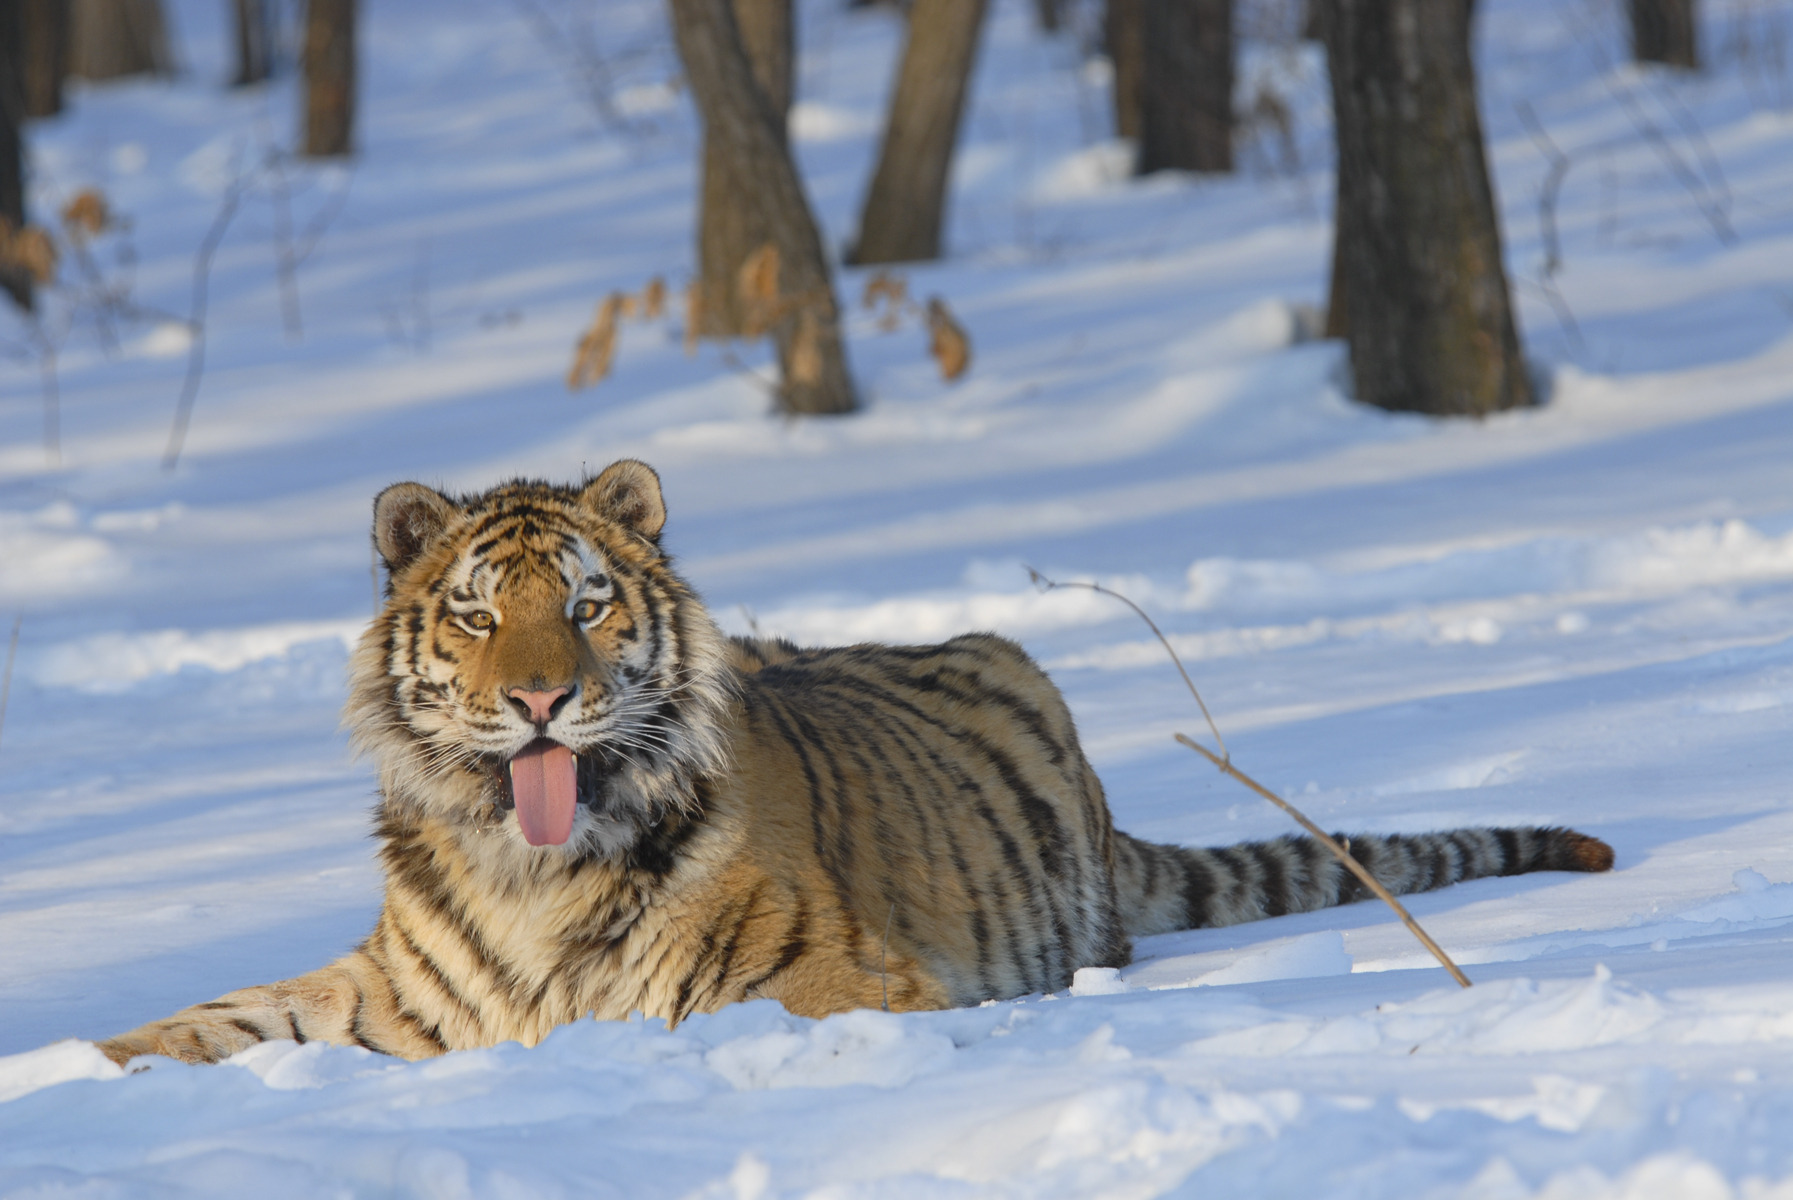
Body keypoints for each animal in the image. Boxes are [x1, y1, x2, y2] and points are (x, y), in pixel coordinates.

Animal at [90, 462, 1620, 1069]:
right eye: (474, 613)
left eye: (584, 604)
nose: (536, 699)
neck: (528, 870)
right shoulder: (392, 995)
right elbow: (212, 1021)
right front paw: (73, 1076)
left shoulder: (832, 982)